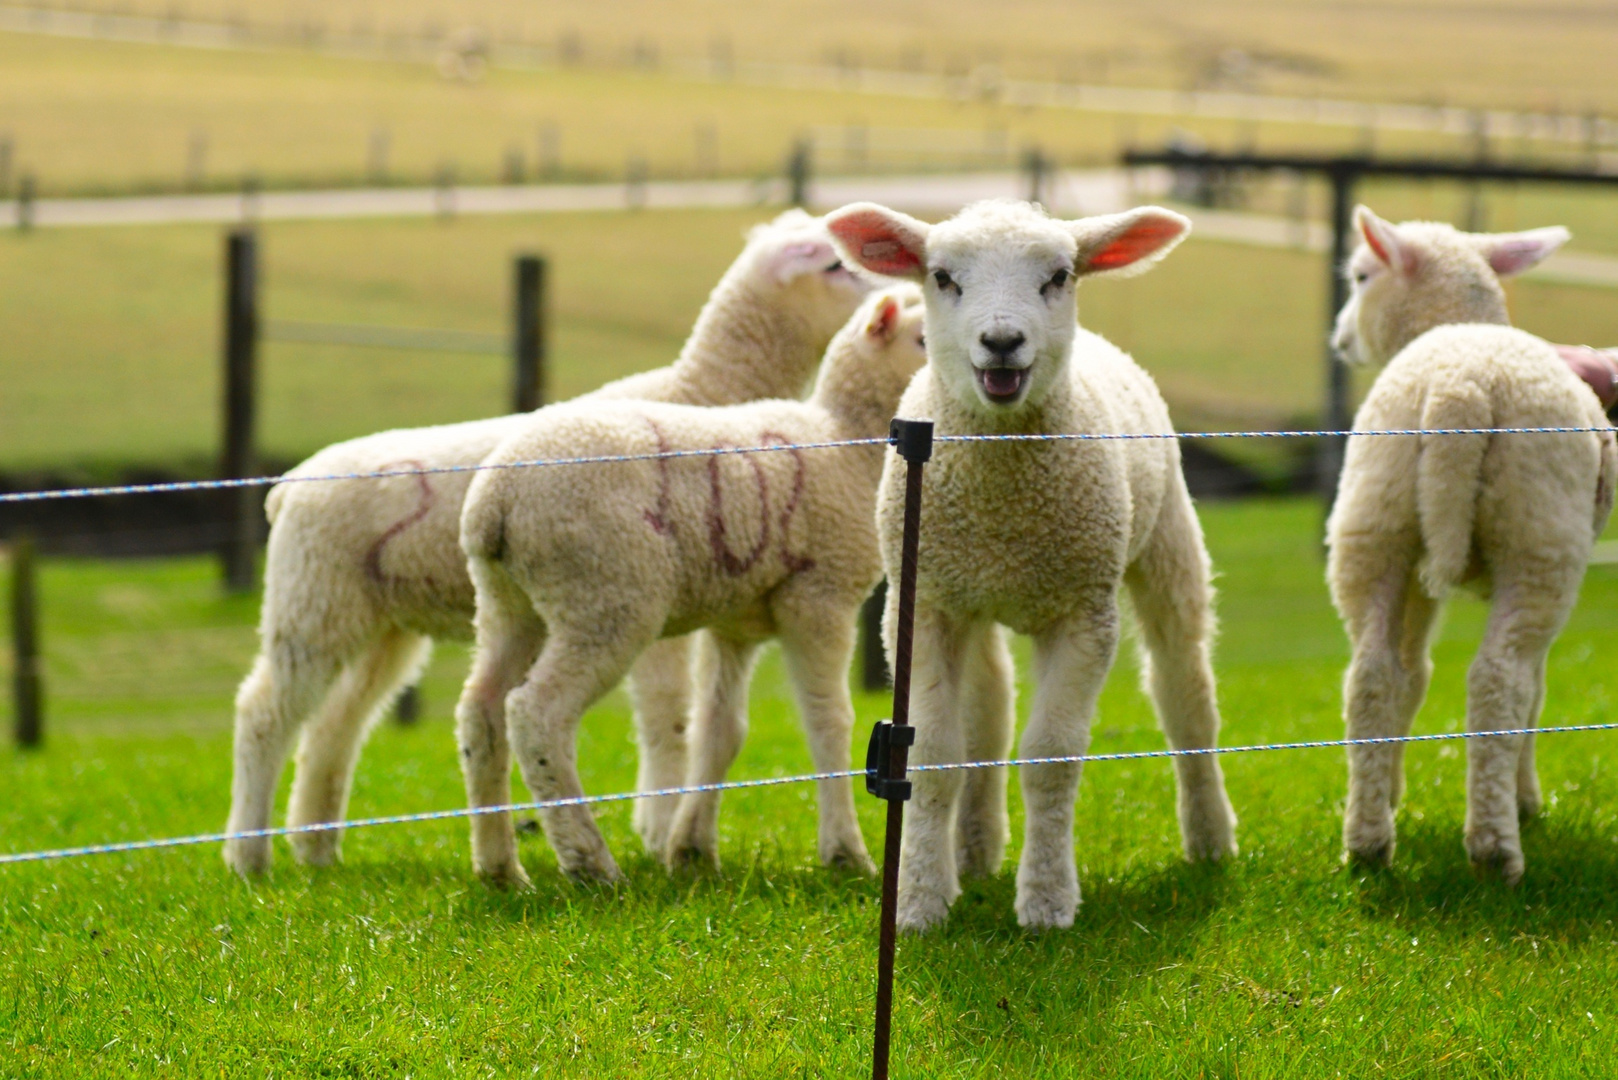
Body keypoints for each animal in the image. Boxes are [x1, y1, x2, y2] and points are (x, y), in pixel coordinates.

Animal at [223, 210, 873, 880]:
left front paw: (665, 830)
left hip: (382, 626)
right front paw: (659, 829)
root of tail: (287, 486)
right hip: (313, 602)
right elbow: (668, 714)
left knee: (335, 725)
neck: (701, 389)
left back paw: (317, 848)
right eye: (834, 265)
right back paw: (249, 855)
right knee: (263, 713)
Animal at [462, 286, 931, 887]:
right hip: (605, 596)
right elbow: (828, 721)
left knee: (481, 709)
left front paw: (692, 850)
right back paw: (590, 862)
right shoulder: (818, 596)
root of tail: (495, 500)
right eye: (923, 338)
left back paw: (500, 867)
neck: (847, 438)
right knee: (536, 712)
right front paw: (847, 853)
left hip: (508, 603)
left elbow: (720, 730)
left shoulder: (735, 624)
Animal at [828, 200, 1242, 932]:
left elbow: (1051, 757)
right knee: (989, 708)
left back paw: (1210, 839)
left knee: (1185, 693)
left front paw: (1047, 902)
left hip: (1167, 542)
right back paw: (973, 853)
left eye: (1058, 276)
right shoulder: (925, 604)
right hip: (973, 597)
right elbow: (933, 753)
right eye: (942, 277)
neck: (1004, 504)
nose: (1001, 341)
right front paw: (920, 902)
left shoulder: (1083, 610)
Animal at [1326, 207, 1618, 880]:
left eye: (1360, 276)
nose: (1339, 339)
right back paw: (1494, 845)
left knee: (1371, 675)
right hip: (1539, 536)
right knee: (1499, 680)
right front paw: (1527, 799)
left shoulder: (1416, 572)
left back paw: (1368, 839)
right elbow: (1534, 691)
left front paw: (1392, 791)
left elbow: (1412, 675)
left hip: (1375, 519)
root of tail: (1459, 388)